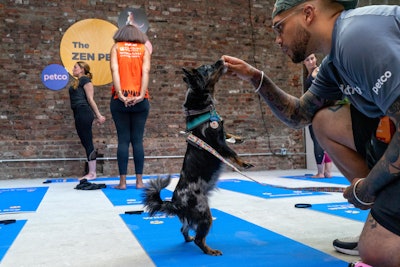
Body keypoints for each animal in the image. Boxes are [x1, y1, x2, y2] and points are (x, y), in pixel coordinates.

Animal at [142, 59, 252, 256]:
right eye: (208, 68)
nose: (221, 60)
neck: (203, 109)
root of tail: (175, 203)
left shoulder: (222, 135)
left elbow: (230, 134)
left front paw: (239, 138)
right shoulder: (218, 144)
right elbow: (233, 153)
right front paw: (244, 163)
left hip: (192, 218)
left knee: (184, 229)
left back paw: (189, 239)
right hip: (205, 214)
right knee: (200, 240)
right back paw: (210, 250)